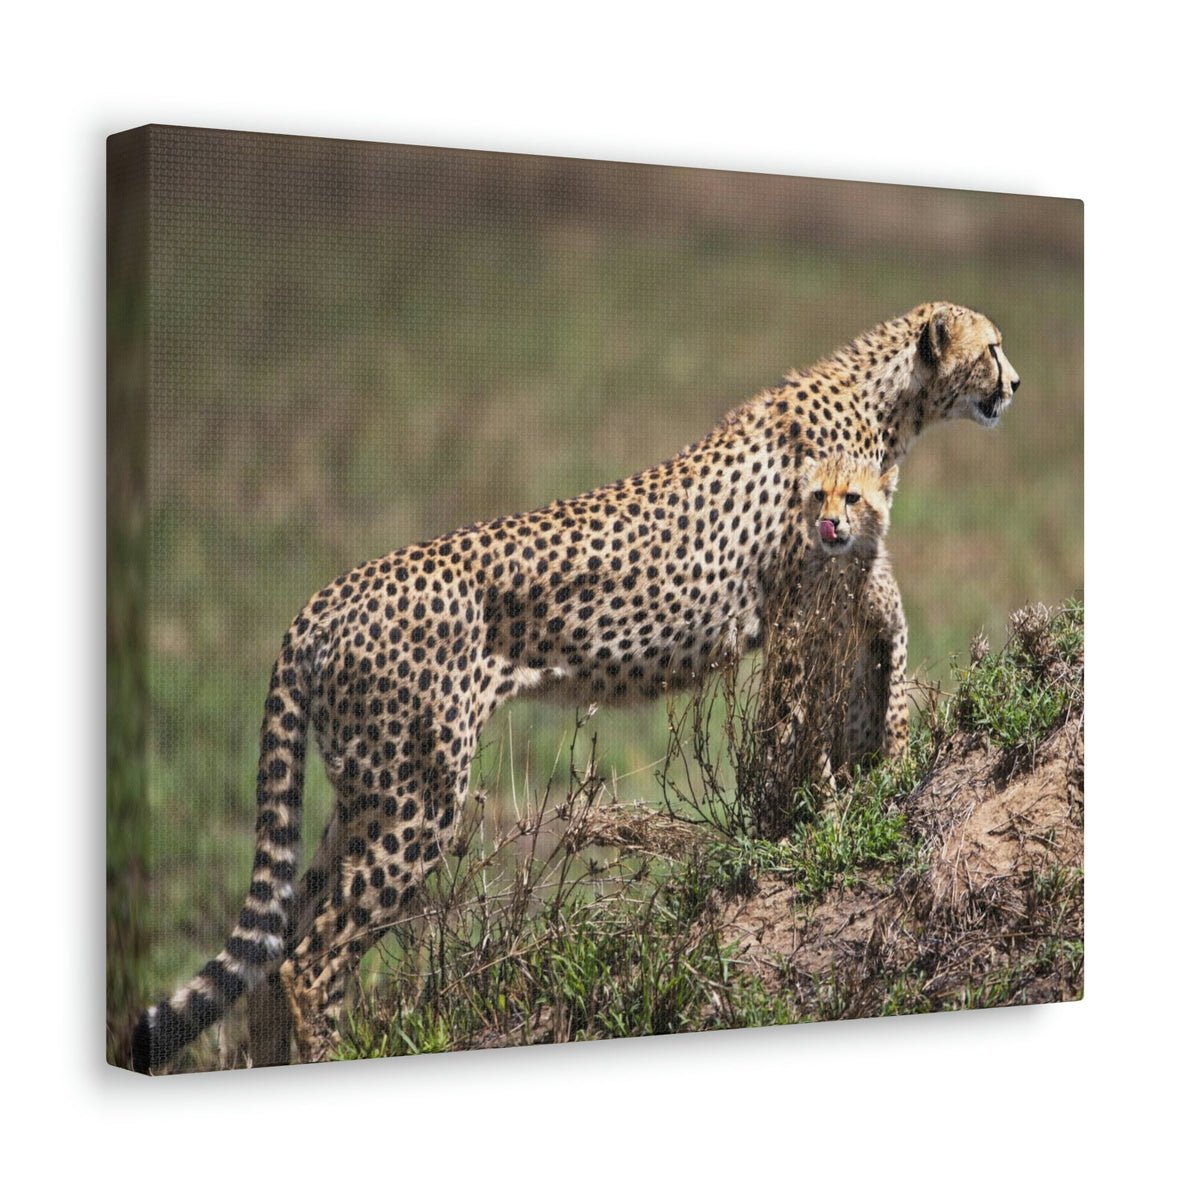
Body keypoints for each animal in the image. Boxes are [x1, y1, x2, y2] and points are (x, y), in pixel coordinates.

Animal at [751, 453, 906, 834]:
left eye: (853, 498)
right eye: (819, 495)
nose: (829, 522)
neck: (844, 564)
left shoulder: (894, 630)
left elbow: (897, 703)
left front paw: (900, 759)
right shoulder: (816, 660)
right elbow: (817, 741)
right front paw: (830, 812)